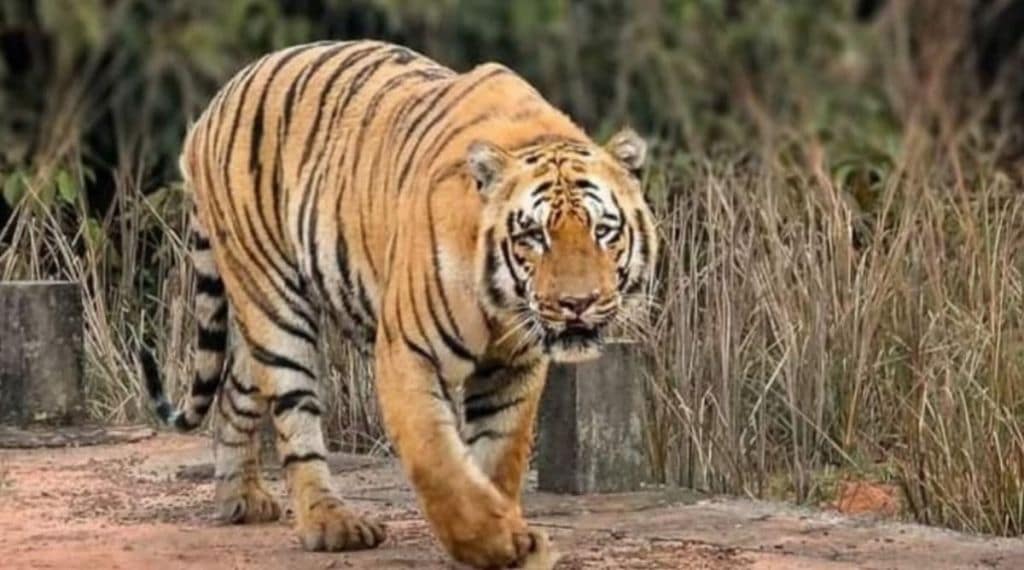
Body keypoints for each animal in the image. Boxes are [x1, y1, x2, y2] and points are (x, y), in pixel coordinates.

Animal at [141, 39, 658, 568]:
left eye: (603, 231)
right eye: (534, 236)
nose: (577, 303)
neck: (503, 304)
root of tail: (212, 108)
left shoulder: (514, 366)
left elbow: (498, 457)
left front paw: (505, 536)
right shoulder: (409, 351)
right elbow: (437, 460)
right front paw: (492, 541)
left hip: (255, 317)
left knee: (234, 390)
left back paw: (240, 498)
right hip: (274, 302)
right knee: (294, 417)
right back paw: (332, 524)